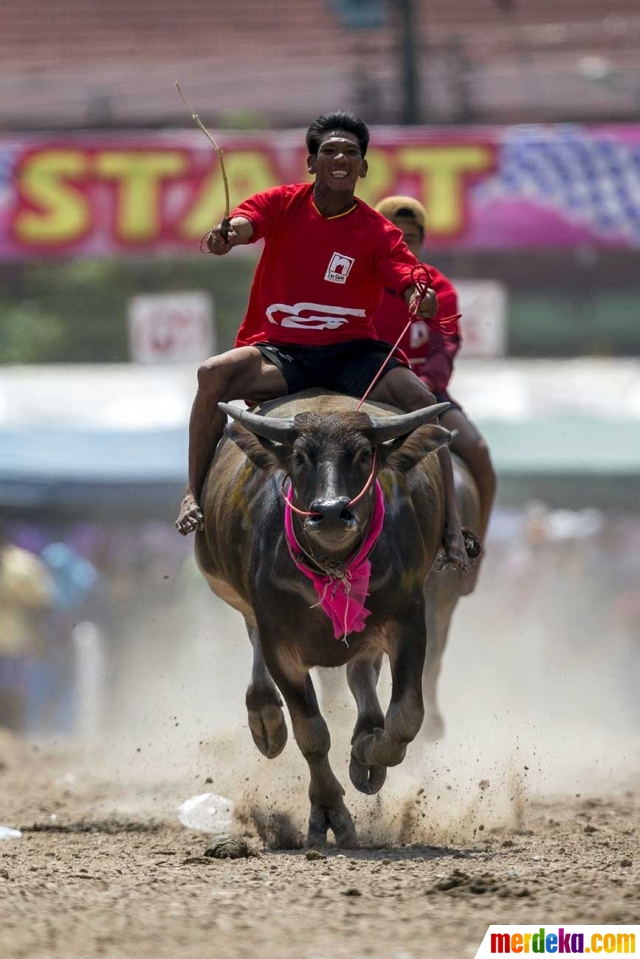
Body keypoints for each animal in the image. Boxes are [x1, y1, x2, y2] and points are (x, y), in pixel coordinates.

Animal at [195, 390, 476, 848]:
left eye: (363, 455)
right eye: (300, 456)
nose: (329, 512)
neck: (334, 567)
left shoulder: (410, 622)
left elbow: (405, 719)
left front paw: (367, 754)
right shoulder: (279, 643)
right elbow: (312, 733)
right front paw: (329, 813)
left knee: (361, 674)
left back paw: (364, 737)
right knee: (258, 646)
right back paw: (266, 718)